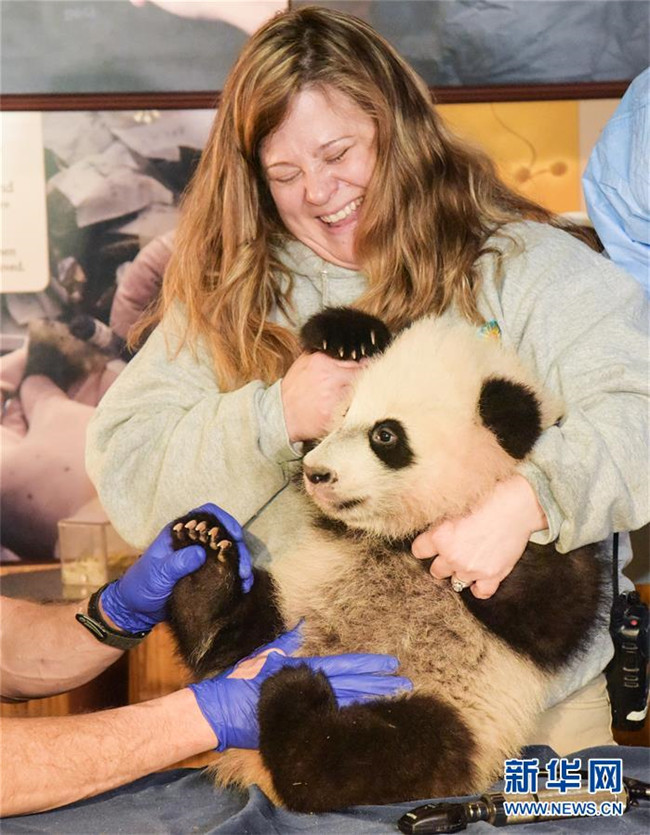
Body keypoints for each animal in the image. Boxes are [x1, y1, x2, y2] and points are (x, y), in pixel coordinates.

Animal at [167, 307, 605, 814]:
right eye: (342, 415)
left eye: (385, 435)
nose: (317, 473)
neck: (401, 536)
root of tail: (248, 758)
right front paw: (350, 335)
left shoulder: (541, 542)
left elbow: (553, 608)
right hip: (285, 614)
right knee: (239, 622)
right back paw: (204, 563)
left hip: (453, 708)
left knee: (390, 753)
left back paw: (296, 703)